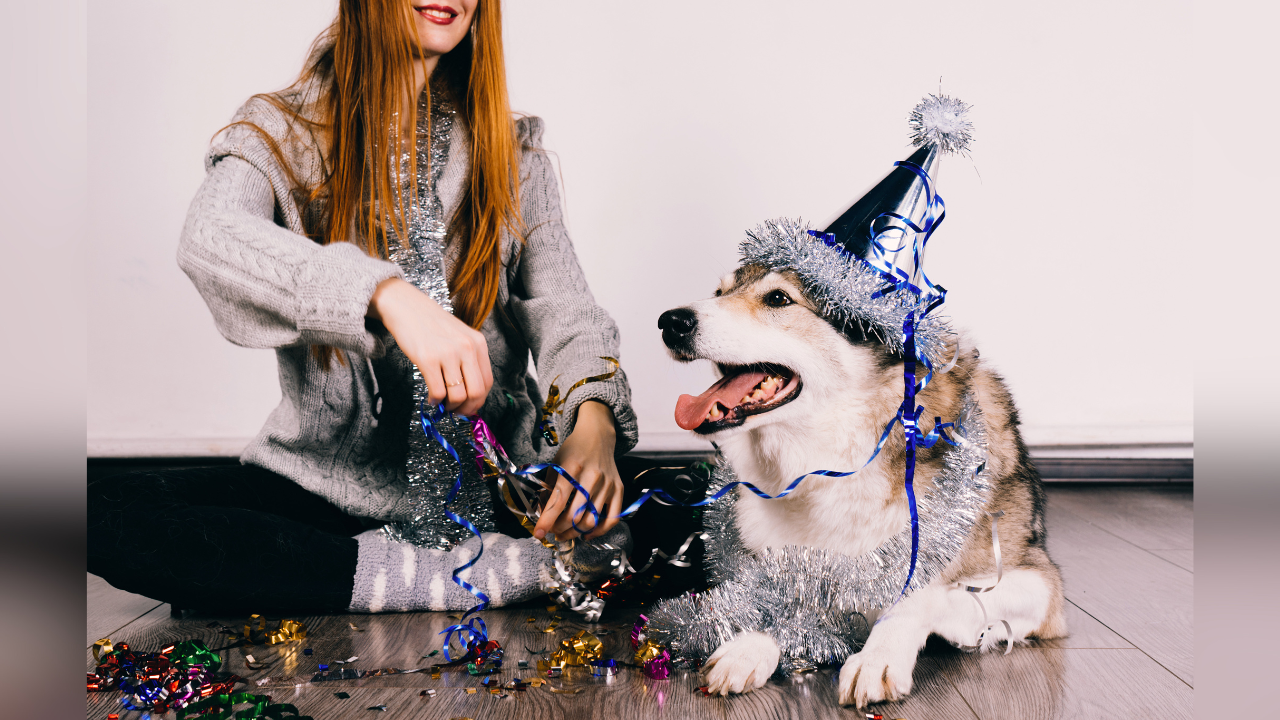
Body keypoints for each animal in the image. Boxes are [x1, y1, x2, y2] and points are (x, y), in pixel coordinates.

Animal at [655, 262, 1064, 702]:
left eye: (778, 298)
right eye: (719, 292)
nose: (670, 322)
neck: (834, 464)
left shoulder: (1041, 586)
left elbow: (922, 594)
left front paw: (877, 655)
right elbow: (783, 593)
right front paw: (750, 646)